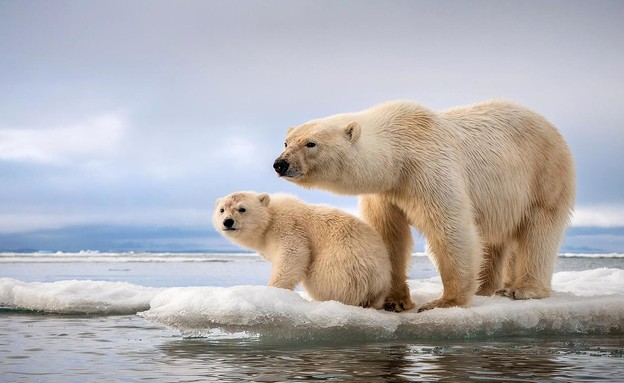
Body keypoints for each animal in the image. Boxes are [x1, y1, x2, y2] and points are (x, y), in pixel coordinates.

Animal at [214, 192, 390, 308]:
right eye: (222, 210)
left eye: (242, 209)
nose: (227, 222)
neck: (269, 220)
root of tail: (376, 284)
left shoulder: (287, 226)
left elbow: (292, 254)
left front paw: (272, 291)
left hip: (342, 266)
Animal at [272, 100, 576, 314]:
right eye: (286, 142)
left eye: (311, 143)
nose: (280, 163)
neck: (398, 151)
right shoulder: (386, 191)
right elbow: (389, 236)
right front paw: (394, 301)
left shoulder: (428, 168)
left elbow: (449, 226)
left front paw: (444, 302)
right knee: (495, 239)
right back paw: (488, 287)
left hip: (544, 173)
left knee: (539, 229)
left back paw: (522, 289)